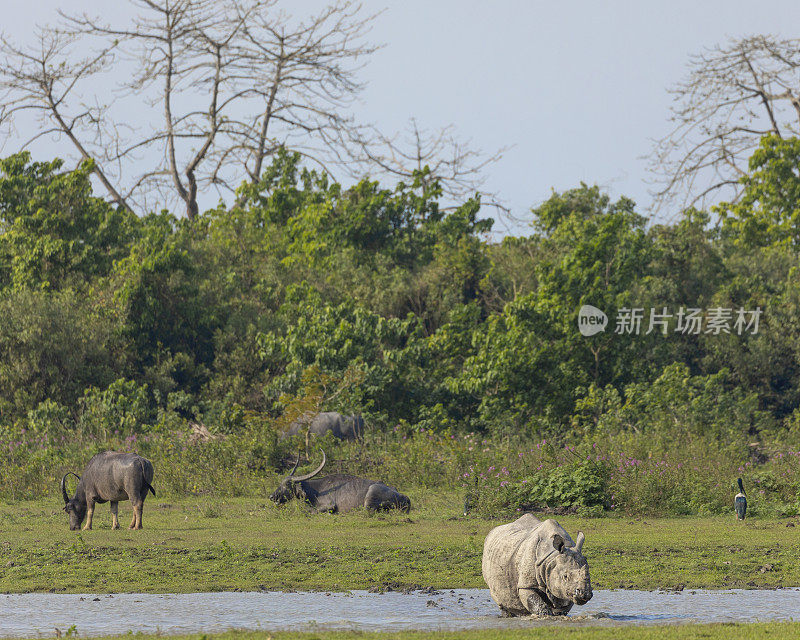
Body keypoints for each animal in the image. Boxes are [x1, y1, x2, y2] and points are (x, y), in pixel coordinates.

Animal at [270, 450, 412, 516]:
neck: (315, 491)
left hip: (370, 495)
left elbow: (309, 511)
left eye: (286, 485)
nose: (272, 496)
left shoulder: (329, 505)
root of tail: (405, 497)